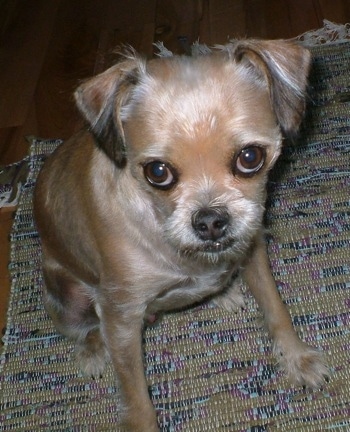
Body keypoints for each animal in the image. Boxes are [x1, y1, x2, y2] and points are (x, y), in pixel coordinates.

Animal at [32, 38, 328, 430]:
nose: (210, 221)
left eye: (250, 157)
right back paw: (93, 351)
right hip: (66, 297)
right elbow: (136, 396)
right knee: (85, 328)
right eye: (158, 172)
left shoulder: (252, 251)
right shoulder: (121, 317)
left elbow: (276, 308)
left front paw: (296, 358)